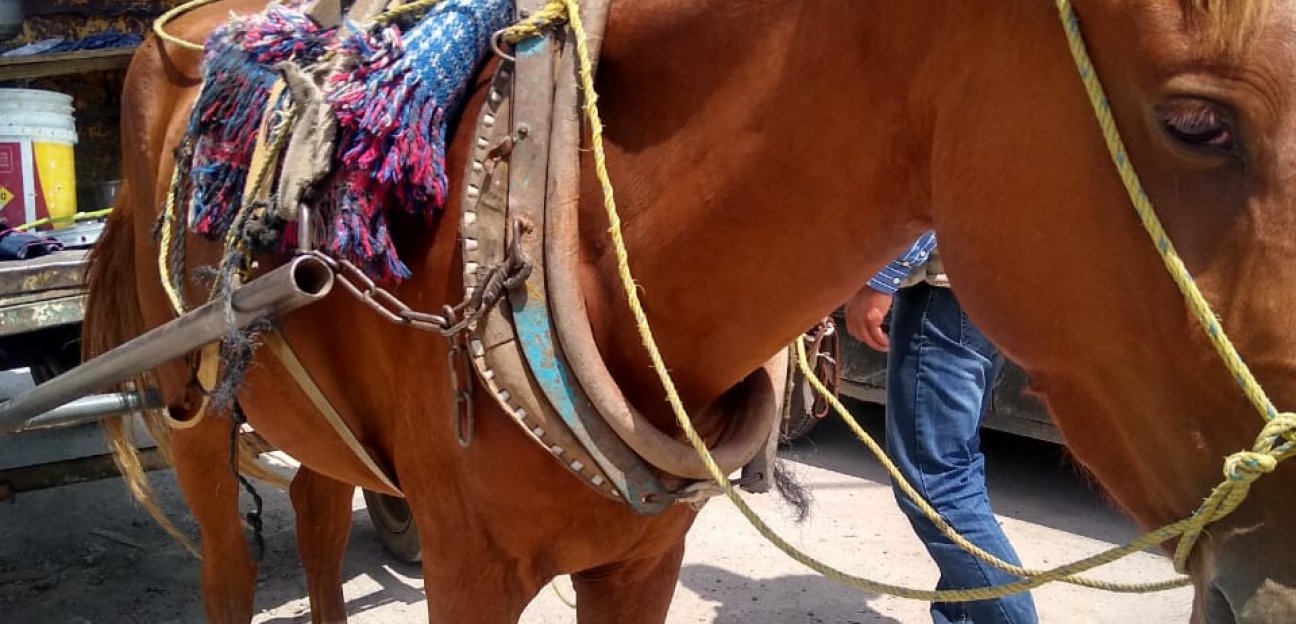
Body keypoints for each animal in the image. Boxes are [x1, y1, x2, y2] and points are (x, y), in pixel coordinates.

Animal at [86, 0, 1296, 620]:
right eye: (1196, 122)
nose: (1280, 580)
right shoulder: (470, 571)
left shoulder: (644, 562)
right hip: (188, 412)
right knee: (230, 557)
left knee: (318, 511)